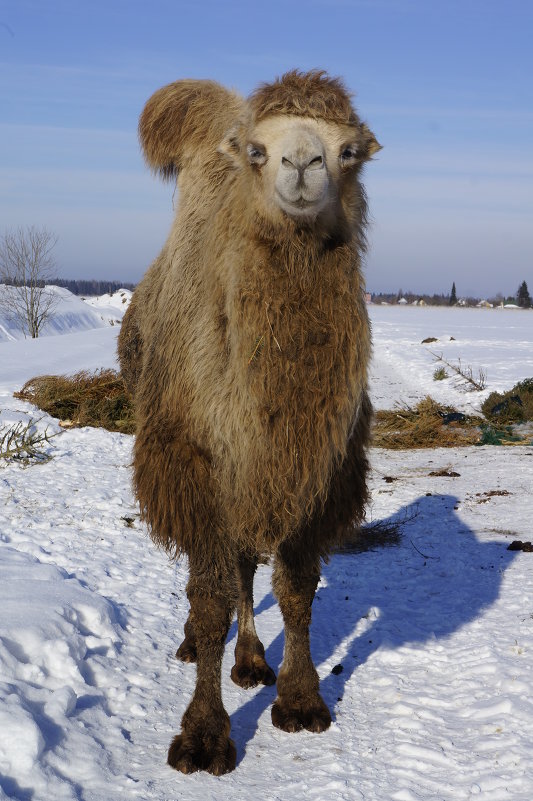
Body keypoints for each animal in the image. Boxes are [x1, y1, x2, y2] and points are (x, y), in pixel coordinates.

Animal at [118, 70, 380, 776]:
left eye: (349, 151)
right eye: (258, 151)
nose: (302, 163)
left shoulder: (319, 471)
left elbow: (296, 587)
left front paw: (300, 699)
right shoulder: (196, 463)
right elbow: (209, 600)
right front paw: (203, 736)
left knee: (244, 565)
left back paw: (251, 661)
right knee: (216, 574)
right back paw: (205, 649)